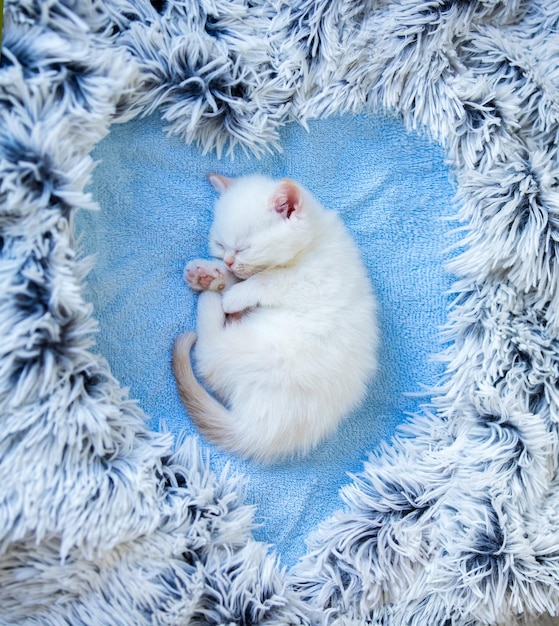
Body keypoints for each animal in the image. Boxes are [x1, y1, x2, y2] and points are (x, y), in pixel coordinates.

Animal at [173, 173, 378, 460]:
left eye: (243, 247)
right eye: (220, 245)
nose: (227, 260)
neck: (312, 243)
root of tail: (262, 432)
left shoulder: (312, 281)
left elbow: (266, 280)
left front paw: (232, 295)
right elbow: (247, 276)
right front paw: (211, 274)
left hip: (262, 351)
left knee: (206, 354)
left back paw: (211, 302)